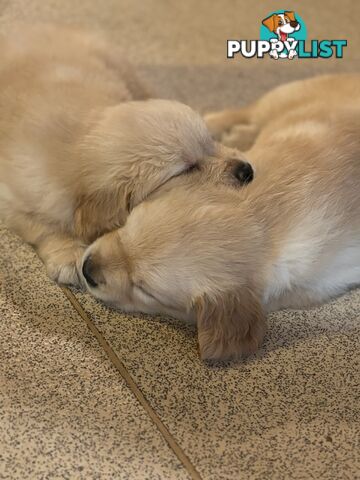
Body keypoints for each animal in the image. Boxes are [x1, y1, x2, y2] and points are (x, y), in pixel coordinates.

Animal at [0, 23, 253, 284]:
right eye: (188, 169)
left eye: (210, 143)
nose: (247, 170)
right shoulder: (13, 197)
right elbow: (41, 226)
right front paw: (68, 254)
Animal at [79, 74, 360, 360]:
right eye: (126, 227)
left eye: (143, 289)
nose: (86, 269)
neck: (271, 214)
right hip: (282, 97)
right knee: (241, 112)